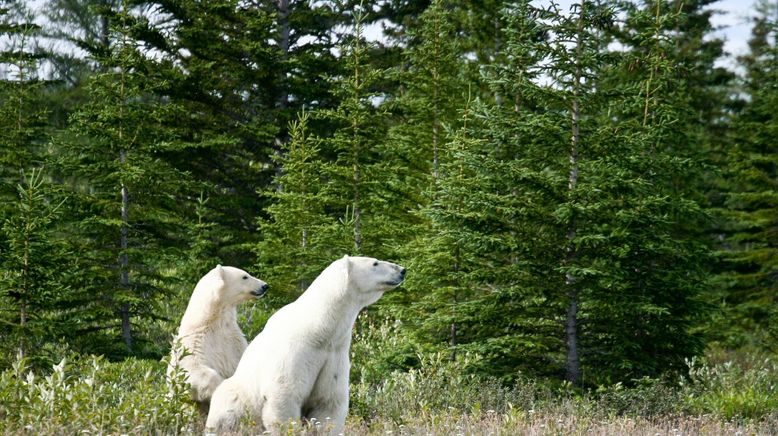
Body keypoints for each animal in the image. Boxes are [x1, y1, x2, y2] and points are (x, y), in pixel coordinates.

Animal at [168, 264, 268, 414]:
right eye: (245, 276)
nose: (264, 286)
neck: (210, 320)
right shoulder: (193, 346)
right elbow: (193, 371)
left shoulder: (232, 338)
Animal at [203, 255, 404, 432]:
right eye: (375, 263)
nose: (402, 270)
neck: (318, 329)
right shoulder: (296, 352)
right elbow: (285, 396)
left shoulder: (334, 354)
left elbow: (328, 402)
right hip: (236, 400)